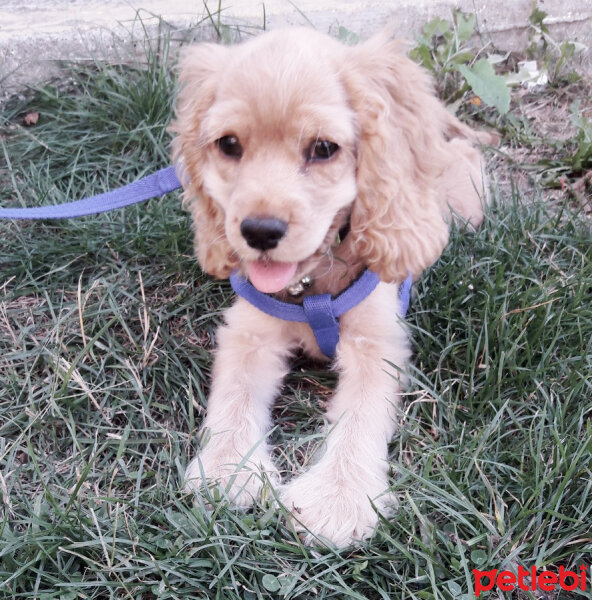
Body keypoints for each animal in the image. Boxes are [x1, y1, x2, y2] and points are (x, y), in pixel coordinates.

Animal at [170, 25, 490, 548]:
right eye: (229, 144)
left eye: (323, 149)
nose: (259, 232)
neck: (310, 286)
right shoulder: (249, 331)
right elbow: (234, 393)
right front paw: (228, 470)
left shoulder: (378, 343)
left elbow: (361, 415)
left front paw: (339, 499)